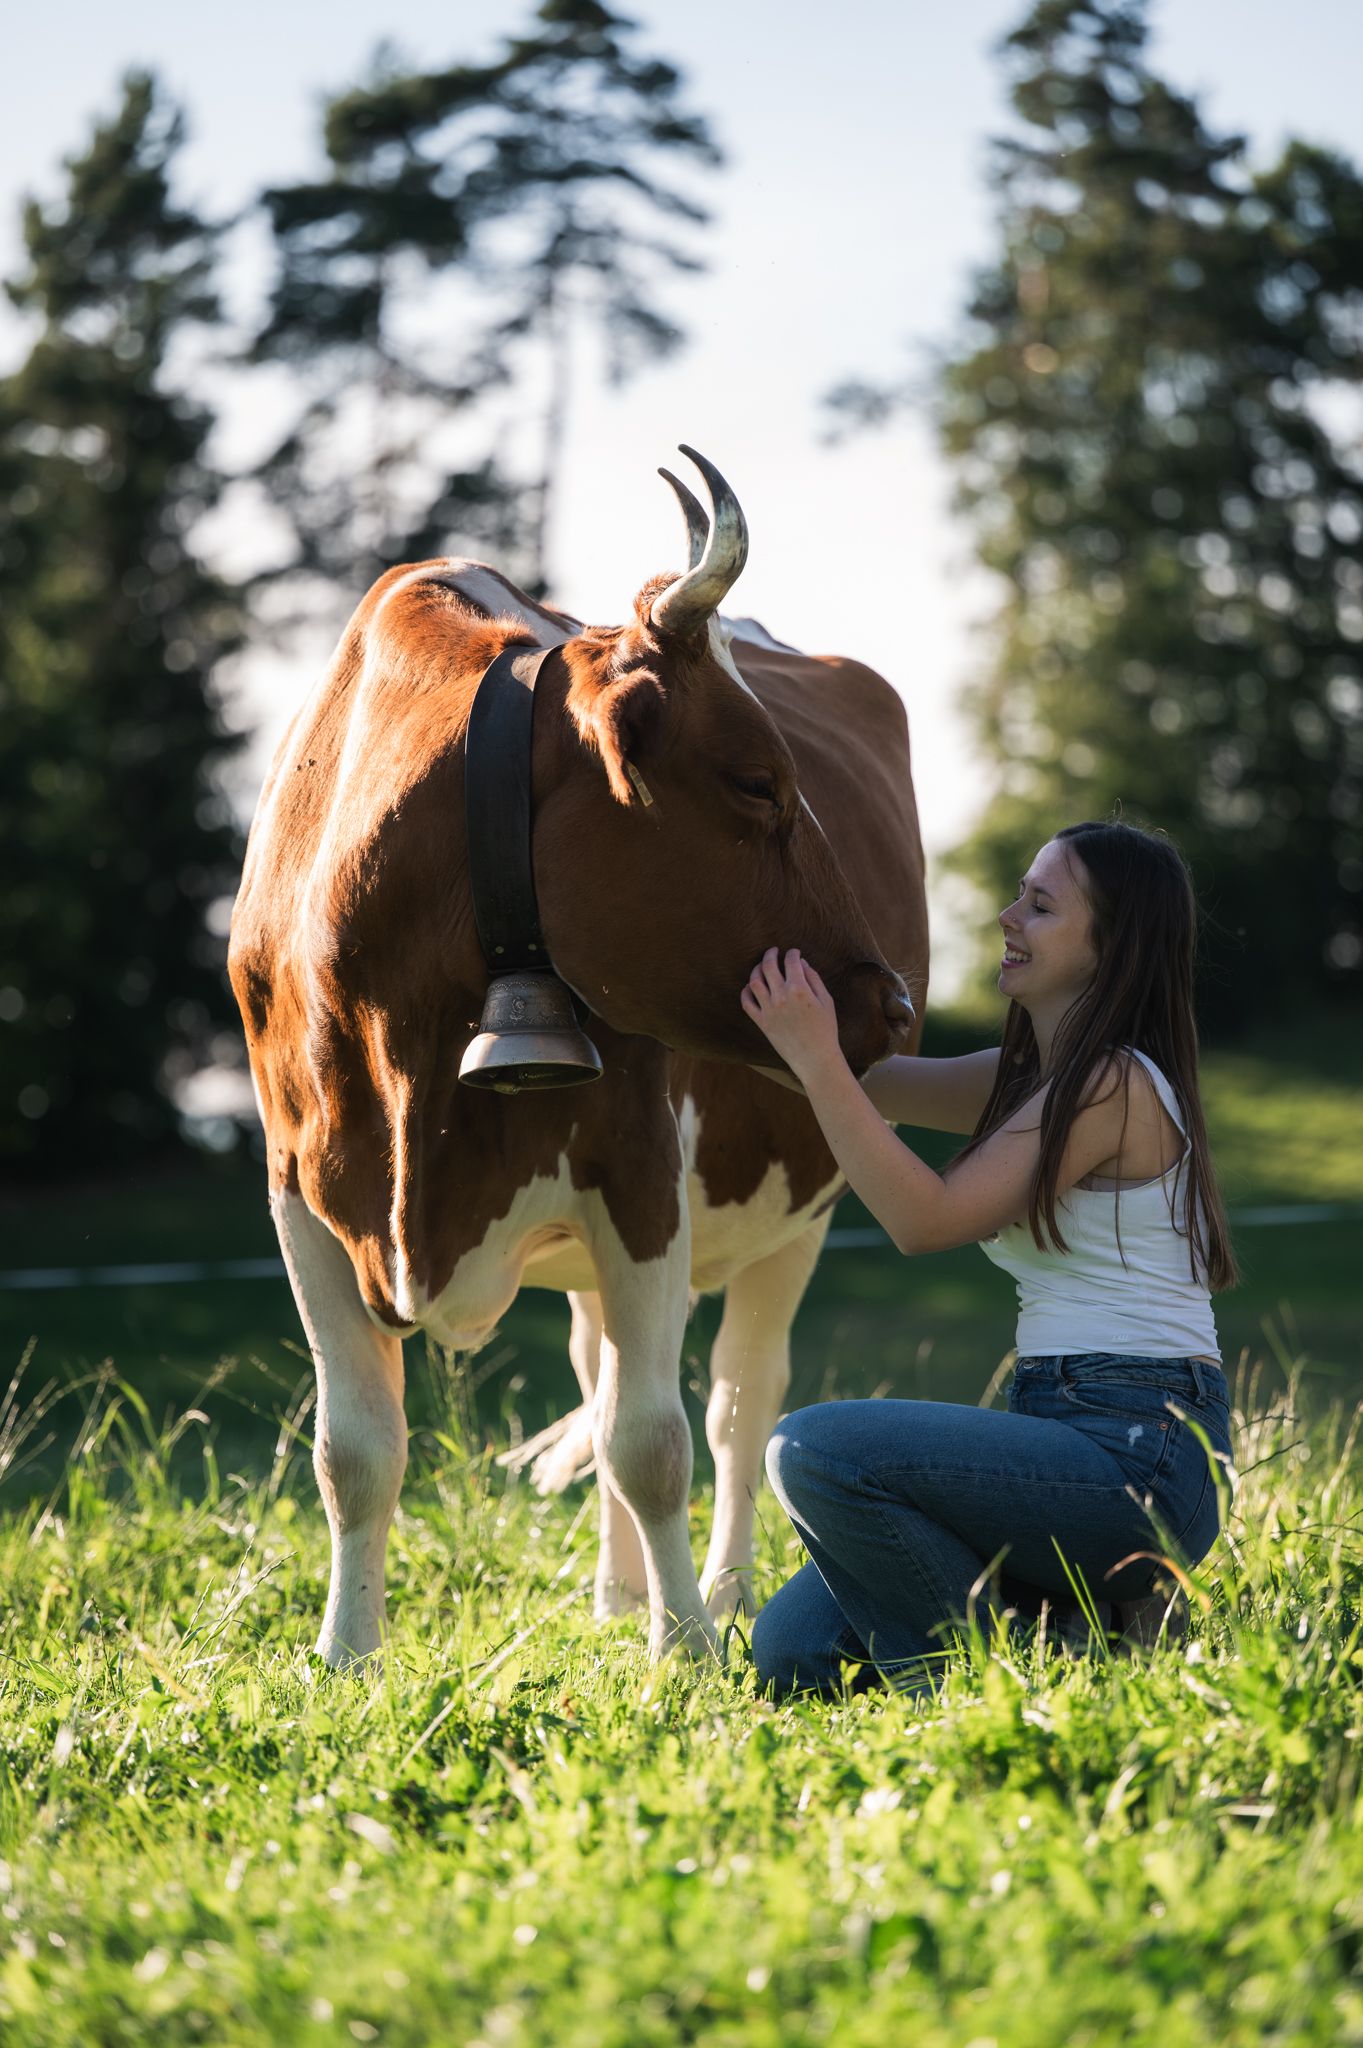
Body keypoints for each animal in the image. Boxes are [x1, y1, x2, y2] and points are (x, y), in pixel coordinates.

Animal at [228, 450, 927, 1668]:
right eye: (758, 781)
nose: (887, 1004)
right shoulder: (299, 1190)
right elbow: (354, 1447)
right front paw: (345, 1655)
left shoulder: (640, 1173)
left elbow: (654, 1438)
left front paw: (685, 1649)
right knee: (601, 1378)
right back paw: (613, 1595)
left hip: (802, 1206)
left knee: (739, 1403)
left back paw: (721, 1589)